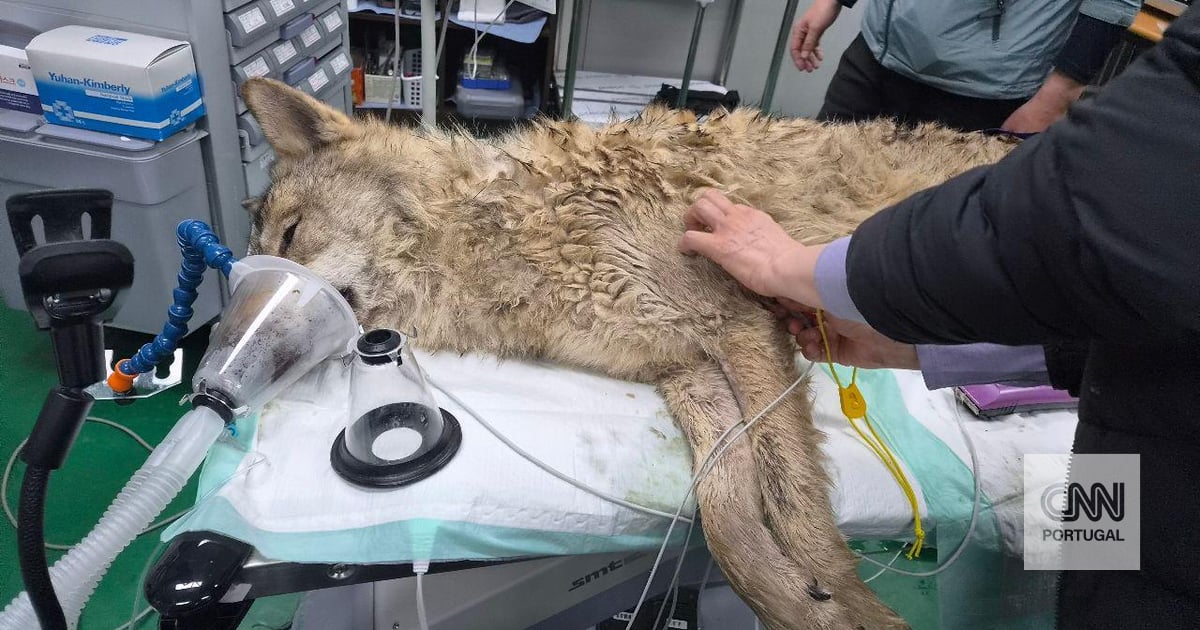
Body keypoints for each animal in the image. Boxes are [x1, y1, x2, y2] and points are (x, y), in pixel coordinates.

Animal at [240, 77, 1015, 629]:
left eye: (291, 236)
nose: (229, 363)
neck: (501, 231)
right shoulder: (687, 371)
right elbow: (729, 519)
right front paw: (804, 603)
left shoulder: (739, 324)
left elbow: (794, 506)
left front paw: (852, 607)